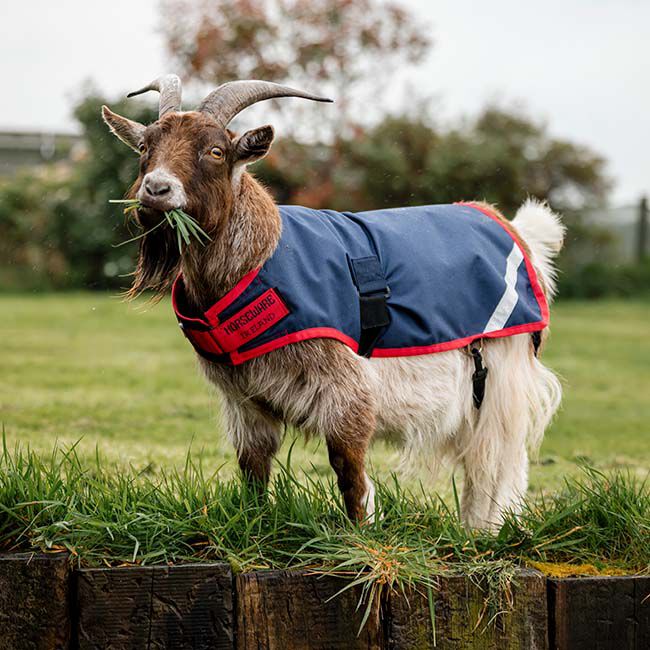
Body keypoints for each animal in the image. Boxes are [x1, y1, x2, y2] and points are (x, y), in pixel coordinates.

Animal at [103, 74, 564, 528]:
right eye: (145, 147)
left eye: (216, 151)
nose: (156, 189)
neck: (260, 259)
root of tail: (515, 229)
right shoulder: (245, 399)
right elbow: (253, 467)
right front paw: (255, 526)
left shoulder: (346, 386)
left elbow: (348, 468)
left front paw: (360, 534)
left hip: (502, 372)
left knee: (496, 460)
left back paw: (481, 532)